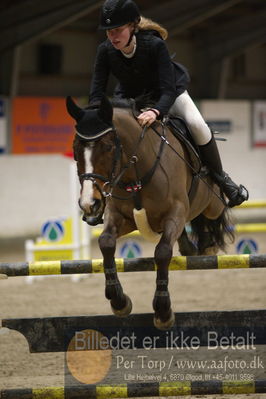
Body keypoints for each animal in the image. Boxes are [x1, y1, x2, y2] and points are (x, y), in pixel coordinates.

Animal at [66, 95, 233, 330]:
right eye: (75, 149)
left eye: (108, 147)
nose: (90, 203)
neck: (134, 170)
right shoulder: (121, 217)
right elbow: (106, 242)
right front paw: (119, 300)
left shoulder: (175, 213)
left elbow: (162, 252)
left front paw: (163, 311)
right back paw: (192, 246)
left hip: (212, 203)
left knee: (213, 212)